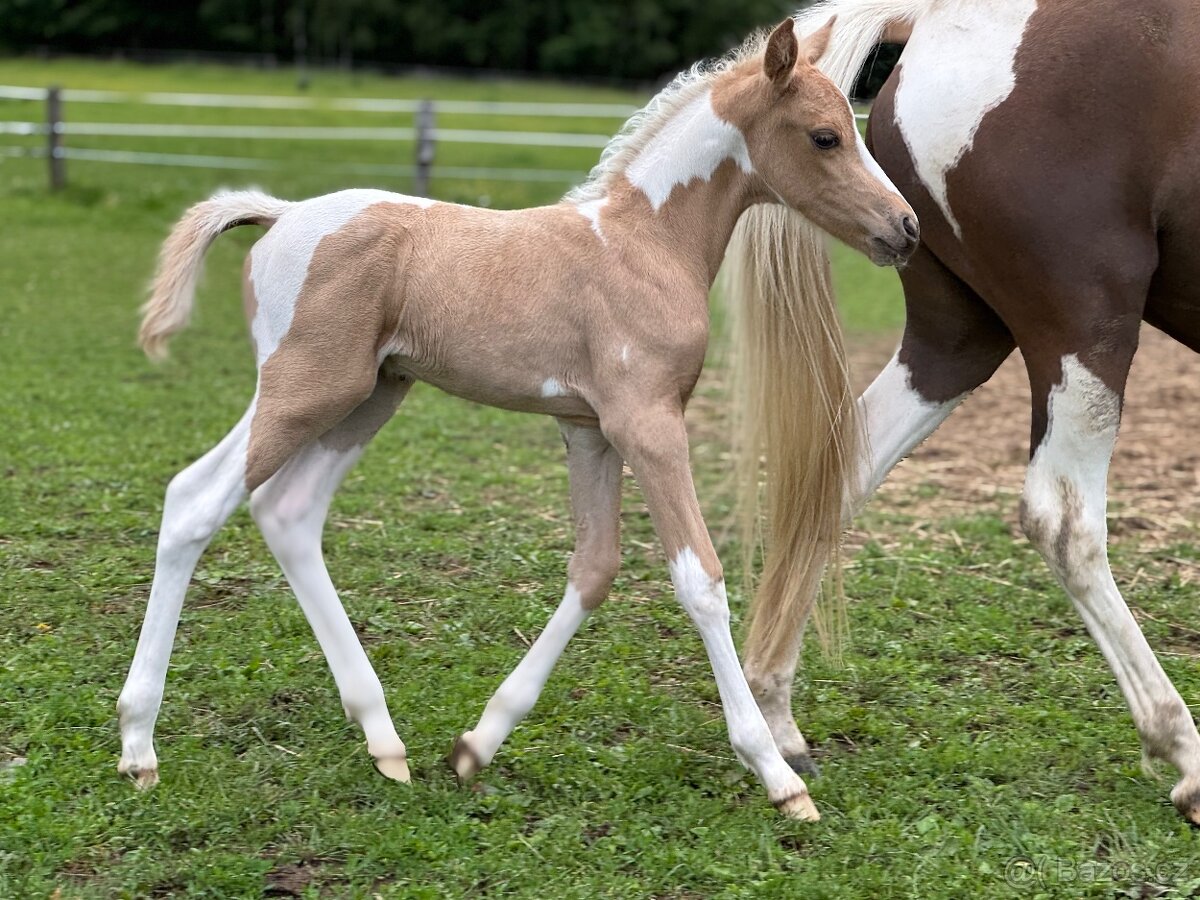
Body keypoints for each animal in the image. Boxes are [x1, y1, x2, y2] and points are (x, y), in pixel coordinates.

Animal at [115, 18, 917, 820]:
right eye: (824, 137)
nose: (905, 227)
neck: (645, 243)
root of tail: (281, 215)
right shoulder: (648, 424)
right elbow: (701, 579)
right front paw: (777, 776)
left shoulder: (590, 430)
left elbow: (595, 568)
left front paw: (478, 744)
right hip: (303, 390)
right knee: (195, 499)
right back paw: (139, 745)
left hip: (367, 395)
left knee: (288, 513)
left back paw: (384, 740)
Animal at [729, 0, 1200, 824]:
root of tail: (934, 20)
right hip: (1084, 328)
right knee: (1063, 520)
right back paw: (1184, 751)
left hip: (954, 343)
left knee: (837, 472)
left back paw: (774, 713)